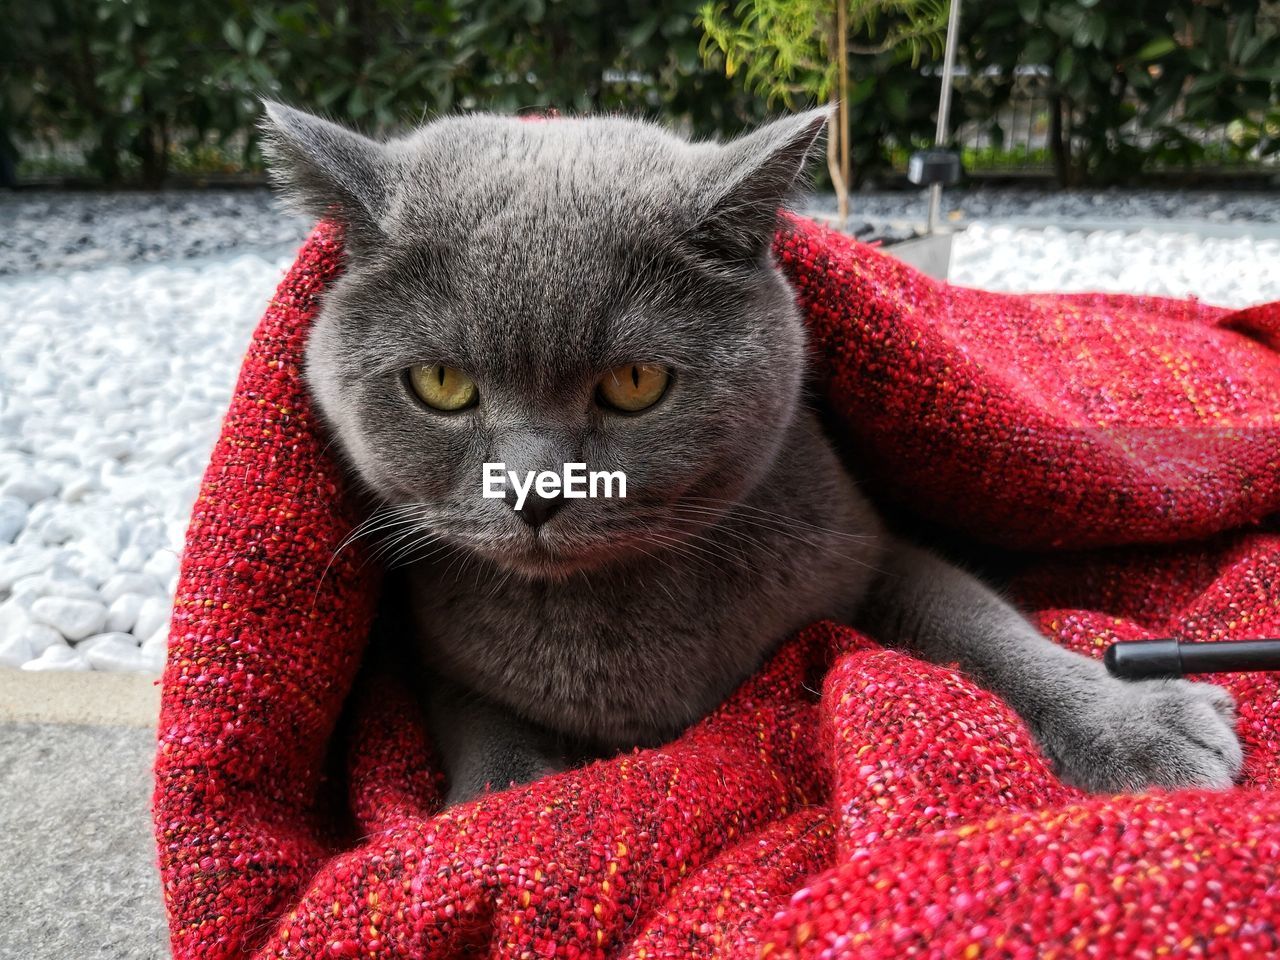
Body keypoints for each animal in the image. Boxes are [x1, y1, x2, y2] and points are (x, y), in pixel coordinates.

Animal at [259, 101, 1239, 808]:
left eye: (637, 382)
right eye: (442, 384)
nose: (535, 492)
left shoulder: (864, 549)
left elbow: (981, 623)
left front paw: (1139, 726)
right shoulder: (432, 650)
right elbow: (481, 726)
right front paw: (501, 810)